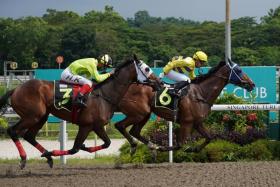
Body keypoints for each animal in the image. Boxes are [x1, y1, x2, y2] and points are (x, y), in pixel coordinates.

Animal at [0, 56, 159, 169]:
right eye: (146, 69)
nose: (159, 82)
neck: (104, 94)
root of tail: (16, 89)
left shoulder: (89, 126)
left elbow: (84, 147)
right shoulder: (93, 125)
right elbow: (79, 148)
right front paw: (53, 152)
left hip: (41, 117)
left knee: (29, 136)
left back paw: (48, 157)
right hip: (32, 116)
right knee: (13, 131)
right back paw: (24, 159)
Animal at [115, 59, 256, 153]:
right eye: (239, 70)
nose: (252, 84)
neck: (200, 93)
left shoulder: (197, 122)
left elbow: (209, 138)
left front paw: (194, 149)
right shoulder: (186, 122)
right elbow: (180, 144)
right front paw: (170, 148)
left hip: (145, 114)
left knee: (134, 131)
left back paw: (152, 146)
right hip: (138, 113)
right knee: (120, 125)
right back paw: (138, 147)